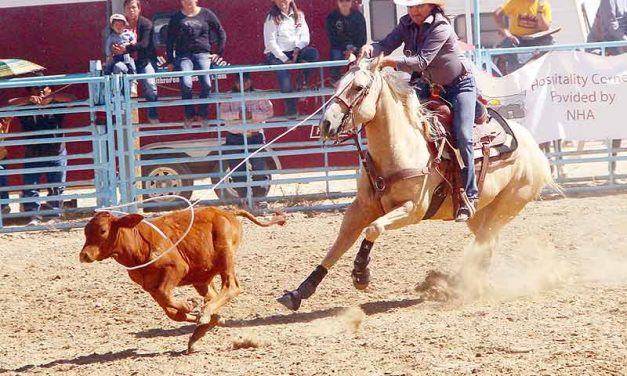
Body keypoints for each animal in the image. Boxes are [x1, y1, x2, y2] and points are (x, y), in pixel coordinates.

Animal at [79, 207, 286, 352]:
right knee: (213, 295)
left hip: (226, 256)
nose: (84, 255)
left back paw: (205, 315)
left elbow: (167, 296)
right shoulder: (149, 286)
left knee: (231, 286)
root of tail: (227, 212)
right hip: (201, 278)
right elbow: (170, 310)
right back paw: (202, 328)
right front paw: (194, 312)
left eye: (103, 230)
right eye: (86, 232)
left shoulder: (176, 268)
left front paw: (190, 306)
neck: (139, 245)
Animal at [278, 55, 556, 308]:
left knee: (485, 243)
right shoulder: (361, 207)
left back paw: (458, 287)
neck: (401, 147)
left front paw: (360, 273)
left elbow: (373, 229)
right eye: (337, 84)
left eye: (358, 87)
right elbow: (339, 243)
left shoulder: (413, 209)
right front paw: (300, 292)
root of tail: (534, 148)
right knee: (485, 244)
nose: (326, 124)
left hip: (507, 206)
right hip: (481, 214)